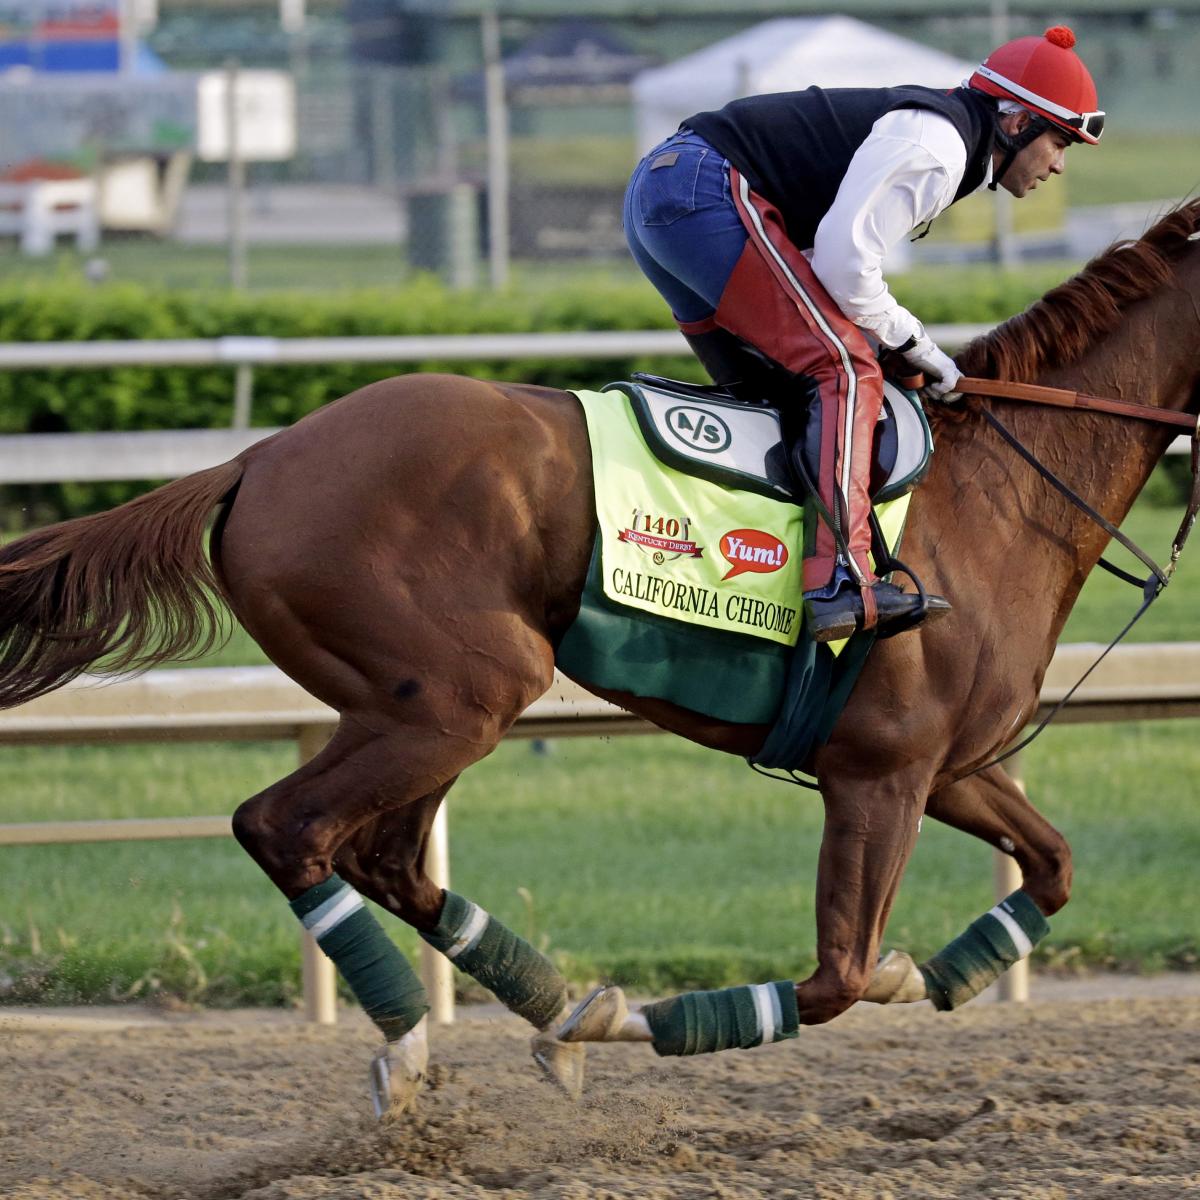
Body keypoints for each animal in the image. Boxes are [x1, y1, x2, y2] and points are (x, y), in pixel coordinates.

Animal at [2, 199, 1200, 1113]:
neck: (998, 486)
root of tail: (258, 459)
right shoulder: (882, 773)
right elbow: (834, 980)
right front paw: (682, 1017)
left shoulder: (948, 766)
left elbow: (1051, 866)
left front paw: (943, 975)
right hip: (461, 695)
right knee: (286, 829)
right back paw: (421, 1042)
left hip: (410, 708)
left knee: (385, 859)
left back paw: (555, 1008)